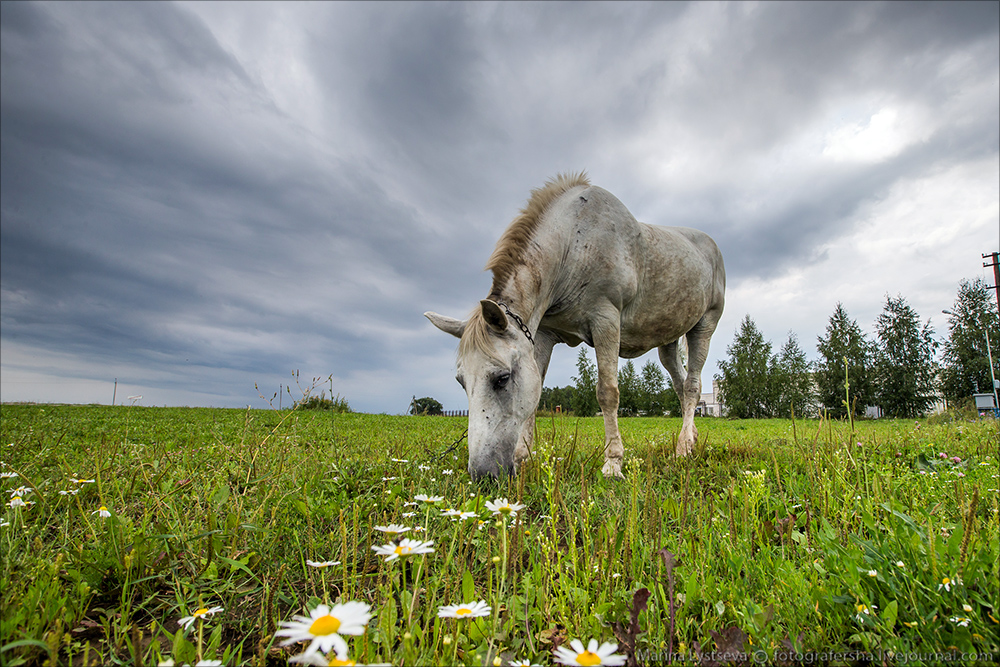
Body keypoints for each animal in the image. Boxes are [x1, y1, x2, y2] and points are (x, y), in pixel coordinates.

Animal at [426, 170, 724, 478]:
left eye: (502, 378)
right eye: (461, 381)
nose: (483, 474)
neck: (574, 246)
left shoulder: (606, 322)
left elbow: (608, 393)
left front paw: (613, 462)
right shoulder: (542, 336)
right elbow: (536, 394)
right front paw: (523, 458)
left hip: (704, 327)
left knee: (692, 385)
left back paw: (682, 449)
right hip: (668, 341)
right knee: (681, 385)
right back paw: (691, 439)